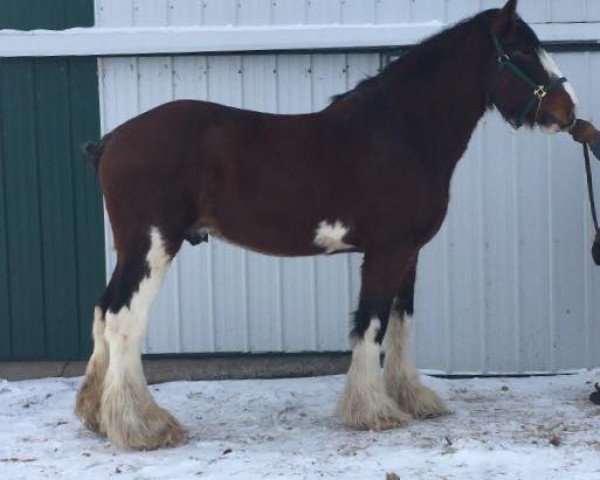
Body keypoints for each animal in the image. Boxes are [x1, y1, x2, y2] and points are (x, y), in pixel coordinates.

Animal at [75, 0, 576, 450]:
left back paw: (98, 415)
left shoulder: (409, 253)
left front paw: (414, 399)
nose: (567, 112)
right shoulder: (386, 251)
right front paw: (373, 411)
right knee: (123, 318)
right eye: (522, 50)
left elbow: (401, 324)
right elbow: (371, 324)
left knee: (103, 311)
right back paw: (142, 427)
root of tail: (110, 142)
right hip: (152, 246)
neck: (402, 133)